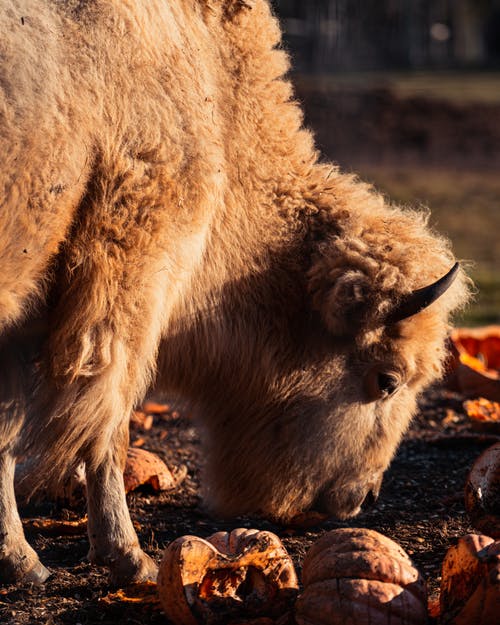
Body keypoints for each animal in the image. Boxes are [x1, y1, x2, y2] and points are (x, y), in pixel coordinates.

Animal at [0, 0, 468, 584]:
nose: (364, 498)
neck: (217, 101)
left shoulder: (32, 315)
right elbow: (108, 423)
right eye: (387, 380)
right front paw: (128, 558)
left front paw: (19, 557)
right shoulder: (130, 286)